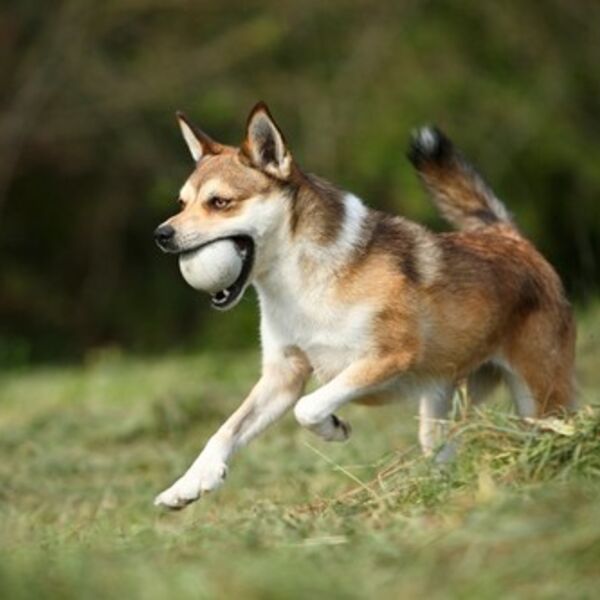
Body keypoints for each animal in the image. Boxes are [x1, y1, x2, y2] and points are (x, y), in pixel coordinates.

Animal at [152, 101, 576, 508]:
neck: (303, 282)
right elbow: (226, 429)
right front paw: (190, 484)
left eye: (220, 202)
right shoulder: (282, 376)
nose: (161, 234)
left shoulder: (387, 358)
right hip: (439, 411)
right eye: (182, 203)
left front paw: (333, 428)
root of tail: (512, 239)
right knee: (443, 452)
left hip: (541, 398)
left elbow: (308, 407)